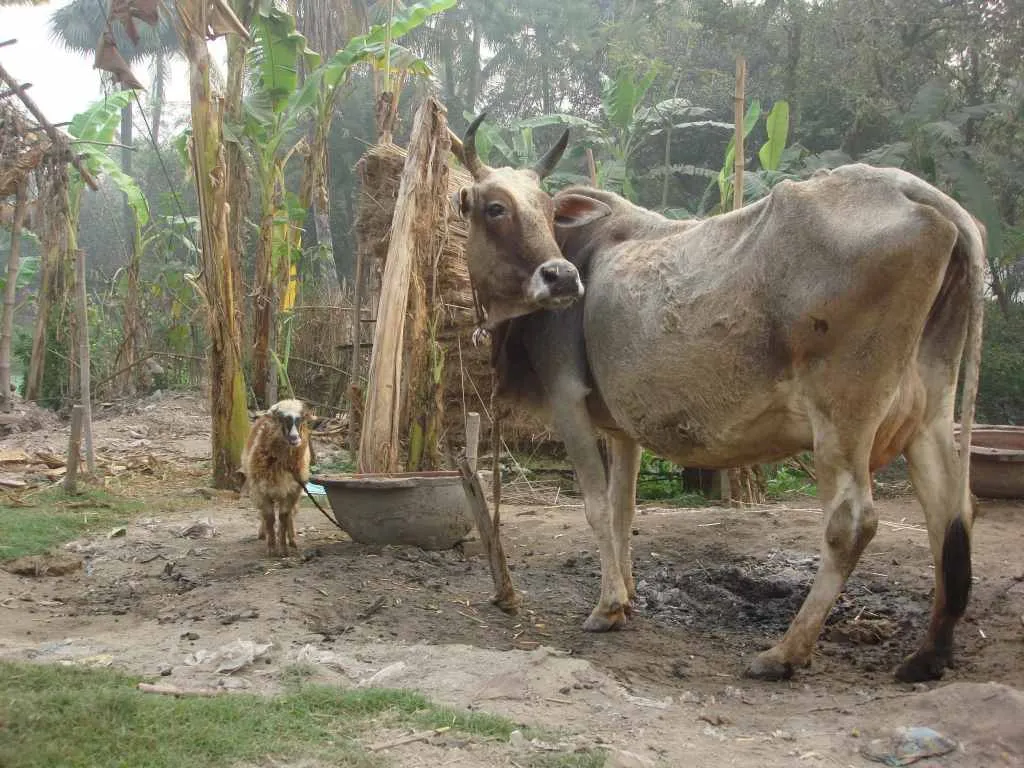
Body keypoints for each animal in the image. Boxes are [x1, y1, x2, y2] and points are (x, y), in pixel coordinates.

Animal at [239, 399, 311, 557]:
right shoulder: (261, 491)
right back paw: (263, 533)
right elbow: (269, 517)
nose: (295, 438)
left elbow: (284, 517)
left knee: (290, 515)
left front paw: (283, 547)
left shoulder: (292, 490)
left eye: (301, 419)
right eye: (281, 418)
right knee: (263, 515)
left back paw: (292, 539)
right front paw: (271, 547)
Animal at [454, 115, 983, 684]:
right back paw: (930, 652)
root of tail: (915, 190)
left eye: (549, 209)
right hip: (928, 414)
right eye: (495, 207)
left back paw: (785, 652)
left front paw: (608, 607)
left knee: (853, 523)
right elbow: (622, 509)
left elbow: (596, 507)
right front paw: (628, 595)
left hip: (842, 419)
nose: (563, 278)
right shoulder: (621, 428)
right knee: (950, 510)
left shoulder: (568, 400)